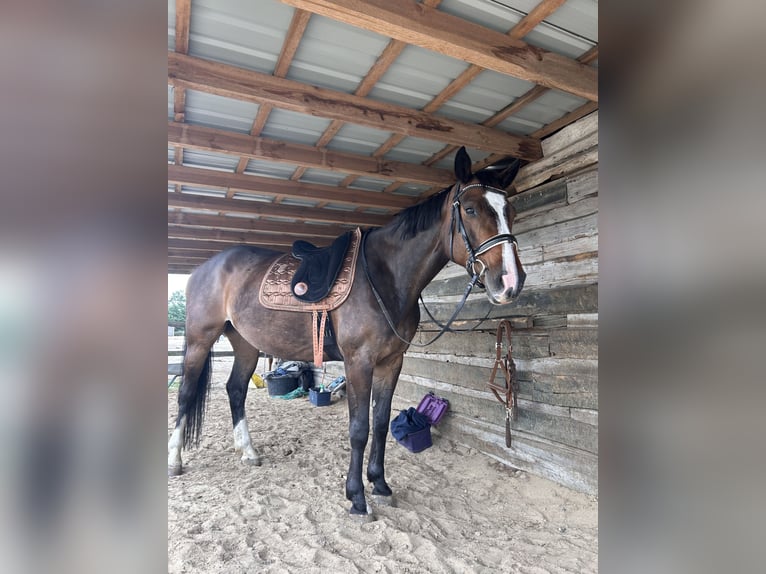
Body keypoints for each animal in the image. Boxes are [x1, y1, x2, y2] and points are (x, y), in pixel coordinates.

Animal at [167, 146, 527, 518]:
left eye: (510, 211)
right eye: (470, 210)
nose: (510, 282)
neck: (384, 277)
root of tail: (203, 268)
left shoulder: (391, 362)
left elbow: (380, 423)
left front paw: (380, 485)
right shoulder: (358, 363)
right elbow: (359, 429)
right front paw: (356, 497)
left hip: (245, 344)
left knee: (236, 390)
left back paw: (248, 452)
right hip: (199, 339)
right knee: (186, 393)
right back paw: (175, 460)